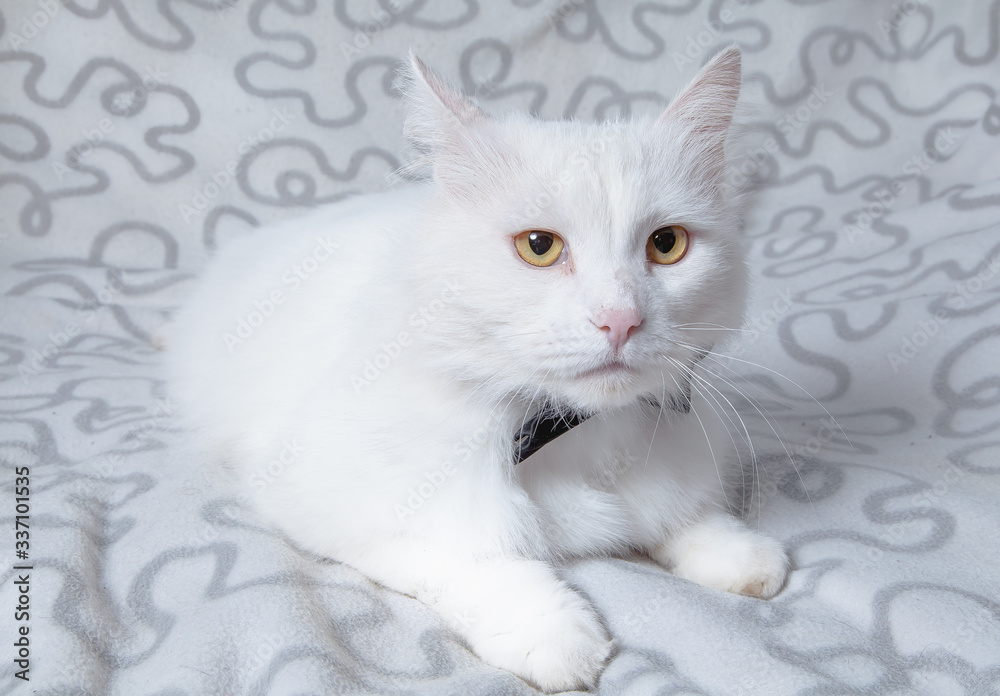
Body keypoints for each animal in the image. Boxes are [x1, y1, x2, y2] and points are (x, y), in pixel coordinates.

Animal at [166, 47, 788, 692]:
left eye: (666, 245)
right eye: (539, 247)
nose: (620, 320)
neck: (573, 433)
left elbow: (686, 517)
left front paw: (737, 554)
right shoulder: (339, 503)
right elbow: (479, 563)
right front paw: (554, 634)